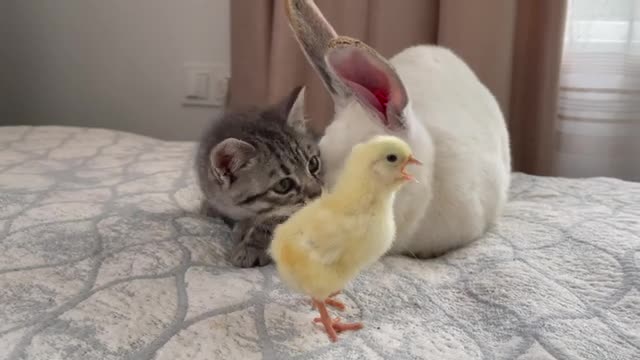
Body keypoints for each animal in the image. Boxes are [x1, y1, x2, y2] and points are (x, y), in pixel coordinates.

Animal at [195, 86, 322, 268]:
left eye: (313, 164)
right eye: (284, 185)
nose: (318, 193)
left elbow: (275, 220)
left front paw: (252, 246)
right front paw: (209, 209)